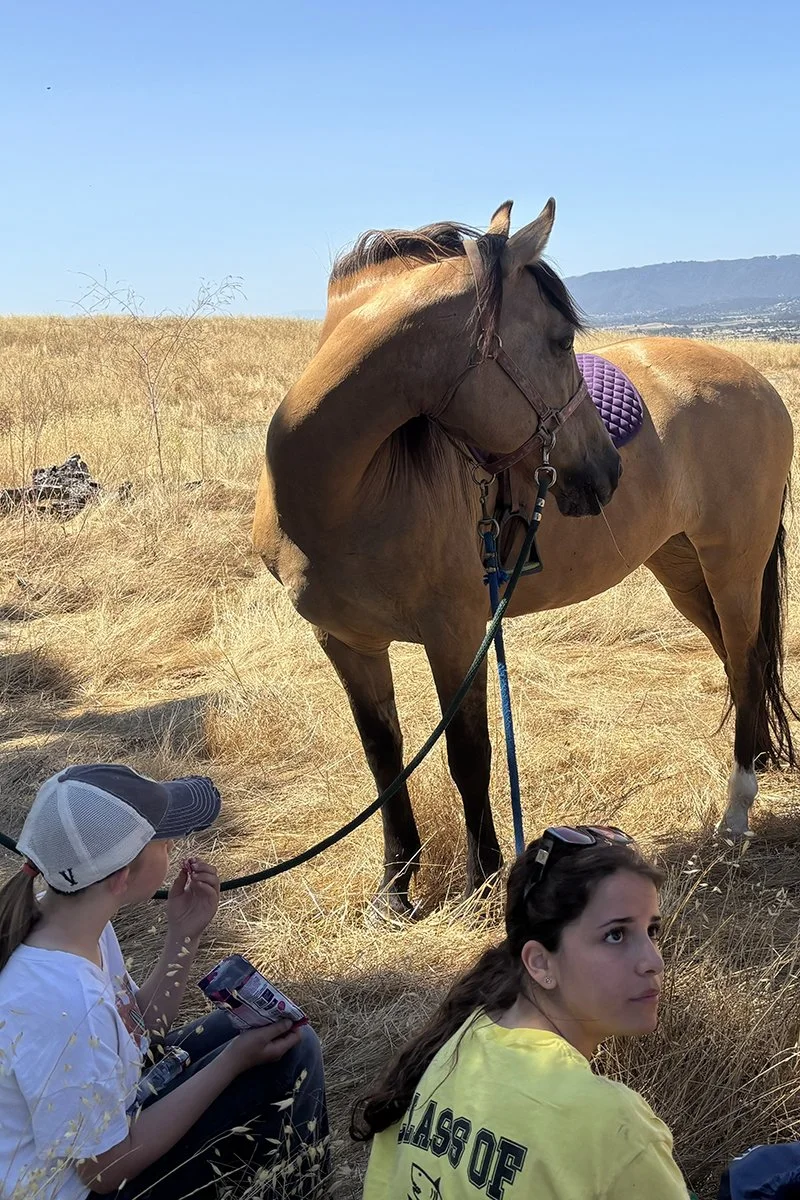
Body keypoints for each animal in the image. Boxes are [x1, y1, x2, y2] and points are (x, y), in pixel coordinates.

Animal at [253, 198, 796, 917]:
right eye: (562, 342)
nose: (607, 471)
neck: (344, 490)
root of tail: (758, 382)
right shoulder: (345, 641)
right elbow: (384, 756)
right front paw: (395, 890)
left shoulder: (456, 634)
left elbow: (469, 754)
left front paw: (483, 881)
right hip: (683, 568)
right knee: (741, 664)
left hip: (732, 564)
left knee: (747, 661)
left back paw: (736, 812)